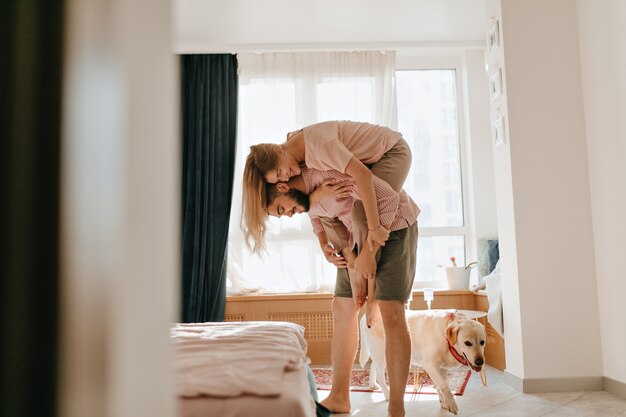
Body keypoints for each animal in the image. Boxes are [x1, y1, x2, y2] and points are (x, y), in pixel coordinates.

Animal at [358, 308, 486, 412]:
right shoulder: (429, 365)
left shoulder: (441, 367)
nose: (480, 362)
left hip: (378, 353)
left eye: (482, 342)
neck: (445, 337)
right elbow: (444, 385)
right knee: (380, 374)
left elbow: (440, 385)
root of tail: (365, 316)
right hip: (381, 353)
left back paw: (372, 385)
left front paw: (443, 402)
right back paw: (387, 395)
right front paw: (451, 404)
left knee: (373, 365)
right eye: (467, 343)